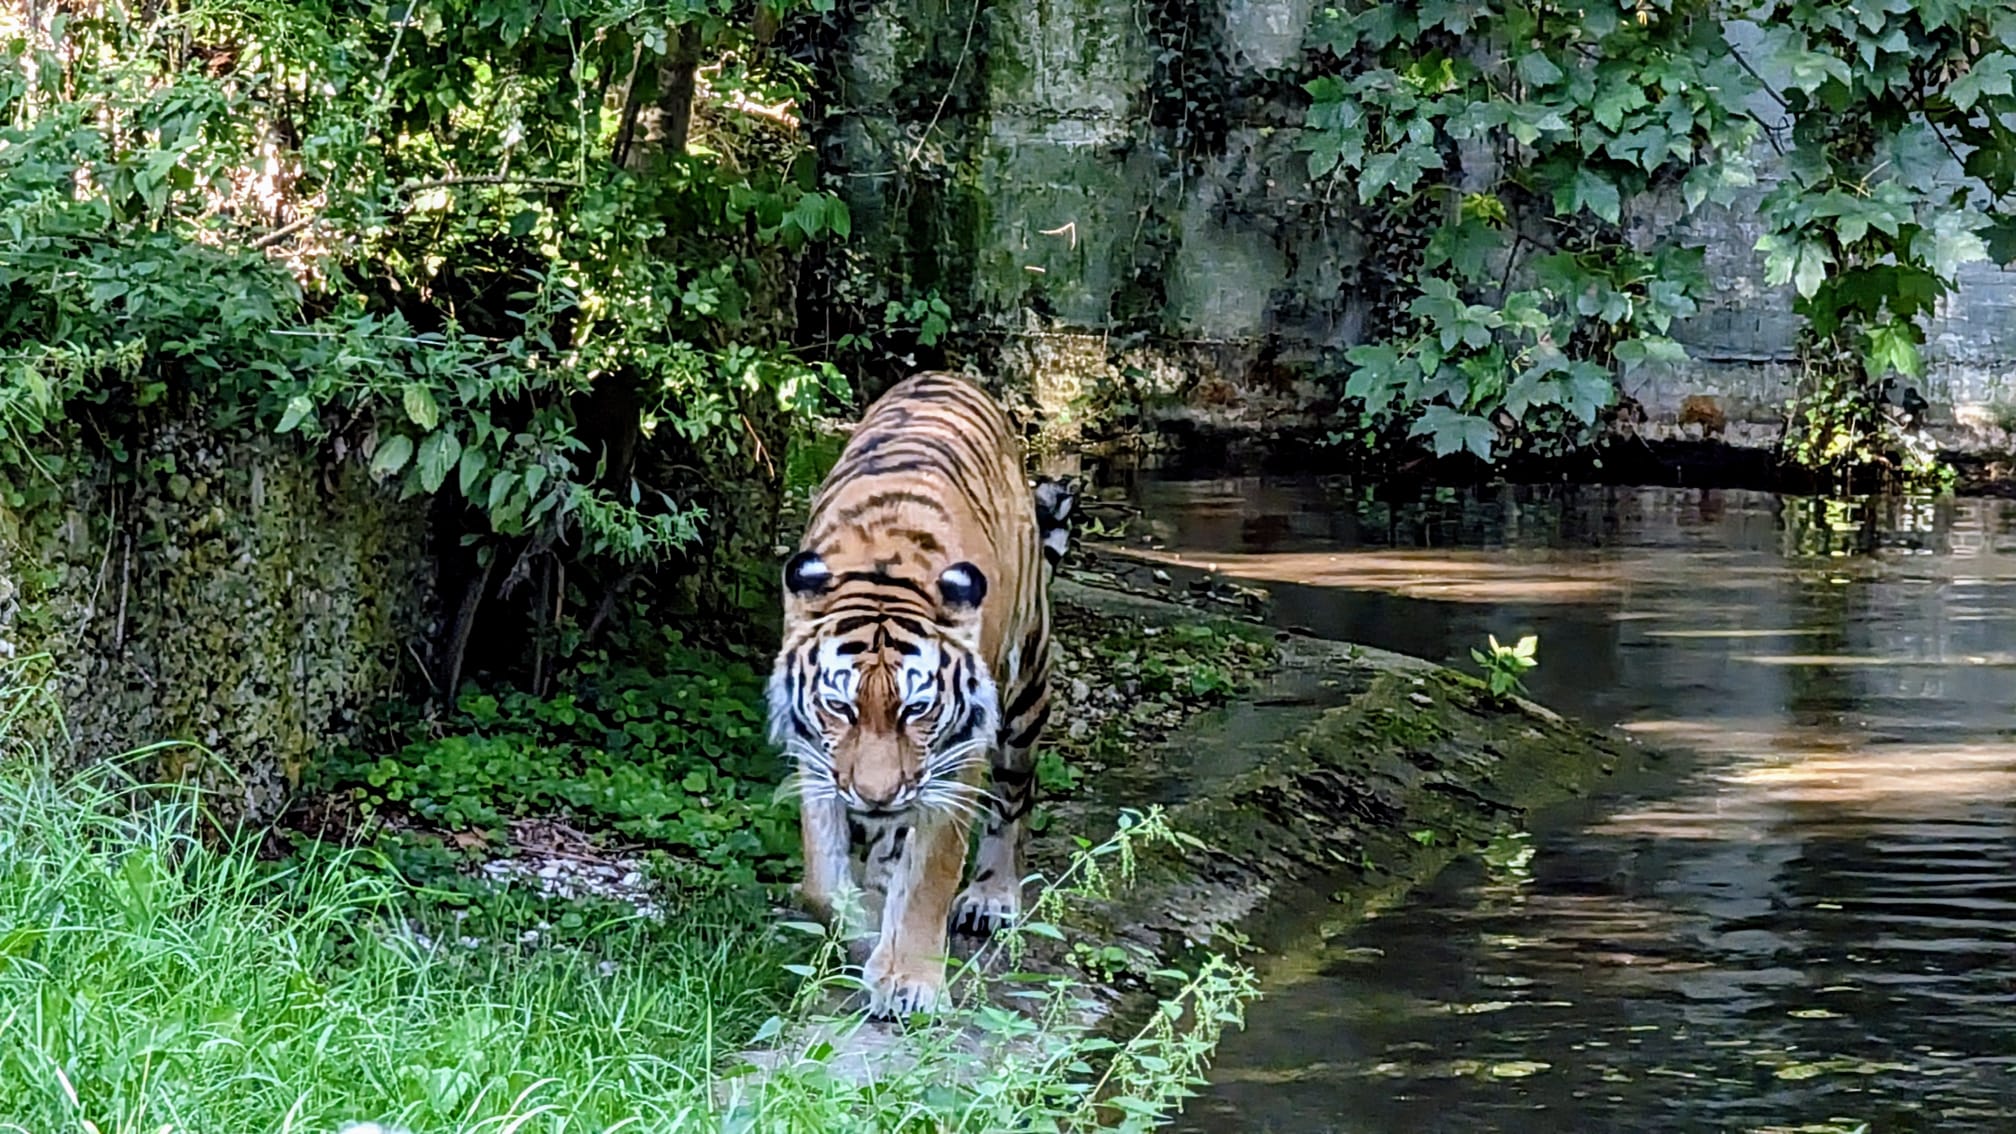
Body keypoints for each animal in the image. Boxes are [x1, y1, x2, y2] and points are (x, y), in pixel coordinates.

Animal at [766, 371, 1080, 1016]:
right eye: (840, 707)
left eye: (918, 709)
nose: (875, 794)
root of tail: (948, 376)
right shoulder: (816, 756)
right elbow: (823, 881)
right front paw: (863, 928)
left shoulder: (958, 755)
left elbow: (932, 870)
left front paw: (908, 978)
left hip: (1025, 688)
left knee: (1015, 800)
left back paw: (991, 896)